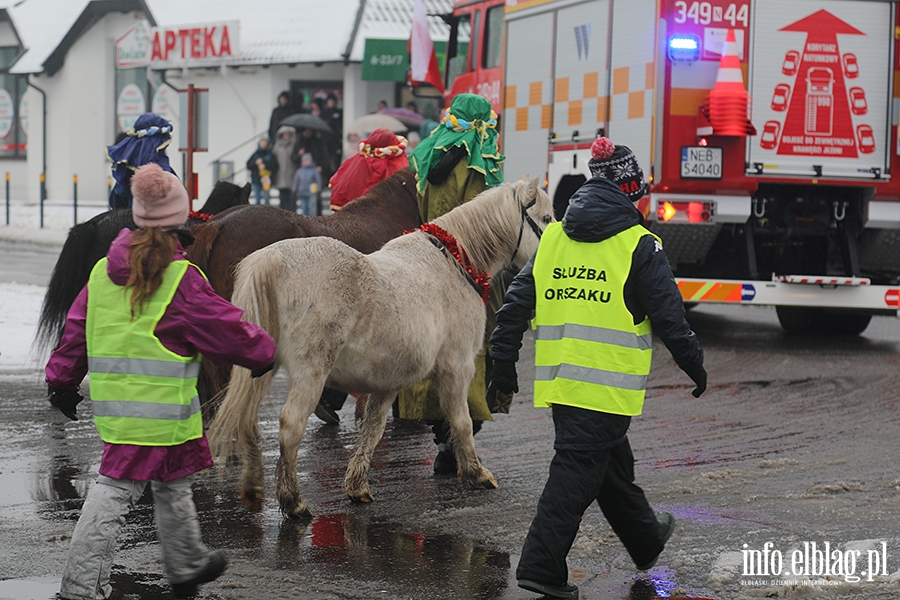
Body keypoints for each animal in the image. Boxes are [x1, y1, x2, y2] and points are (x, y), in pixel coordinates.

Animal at [208, 176, 552, 516]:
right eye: (547, 219)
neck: (454, 261)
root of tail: (272, 259)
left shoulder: (387, 381)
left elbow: (372, 429)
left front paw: (357, 485)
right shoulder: (457, 367)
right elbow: (462, 421)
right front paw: (475, 472)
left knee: (244, 419)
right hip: (311, 372)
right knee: (290, 424)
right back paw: (293, 500)